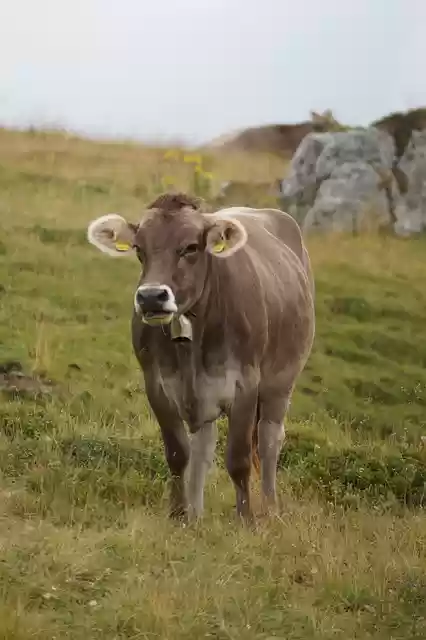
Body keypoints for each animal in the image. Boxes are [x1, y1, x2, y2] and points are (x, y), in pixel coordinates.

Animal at [87, 192, 315, 524]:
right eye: (139, 249)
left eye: (191, 247)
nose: (151, 297)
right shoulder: (157, 385)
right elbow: (179, 453)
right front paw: (179, 514)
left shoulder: (245, 384)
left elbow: (238, 458)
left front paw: (245, 520)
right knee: (204, 447)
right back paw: (195, 515)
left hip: (282, 380)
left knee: (270, 440)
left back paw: (270, 508)